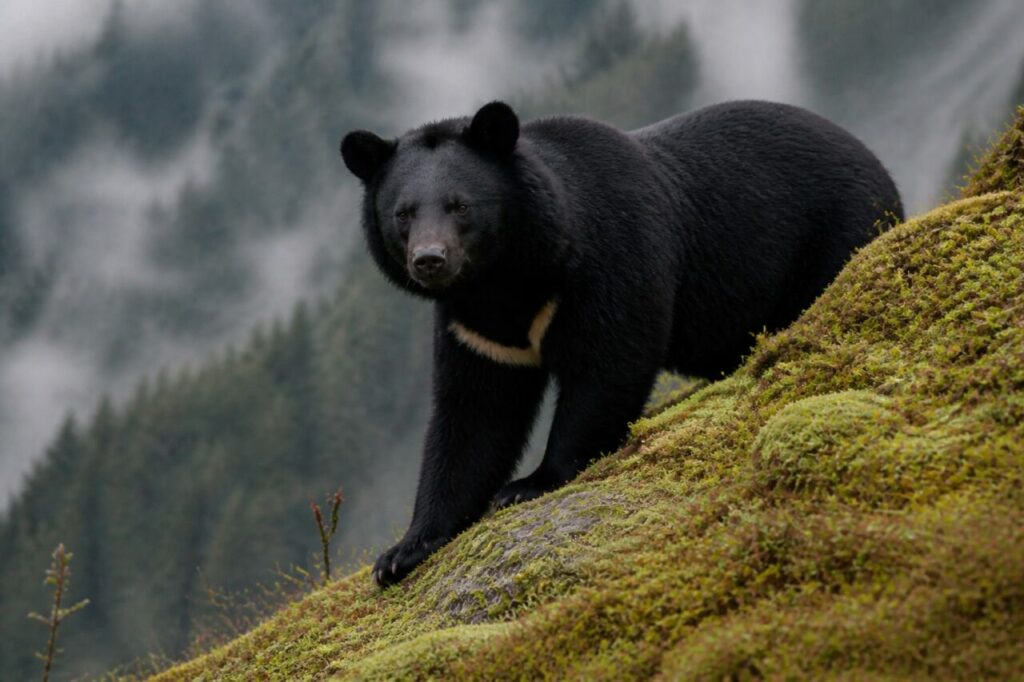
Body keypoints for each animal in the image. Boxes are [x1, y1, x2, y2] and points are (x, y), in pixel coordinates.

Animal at [340, 100, 903, 587]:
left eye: (459, 206)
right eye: (403, 214)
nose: (430, 260)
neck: (508, 280)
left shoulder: (607, 257)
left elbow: (609, 361)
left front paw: (530, 483)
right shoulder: (475, 329)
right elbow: (474, 417)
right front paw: (401, 554)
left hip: (837, 227)